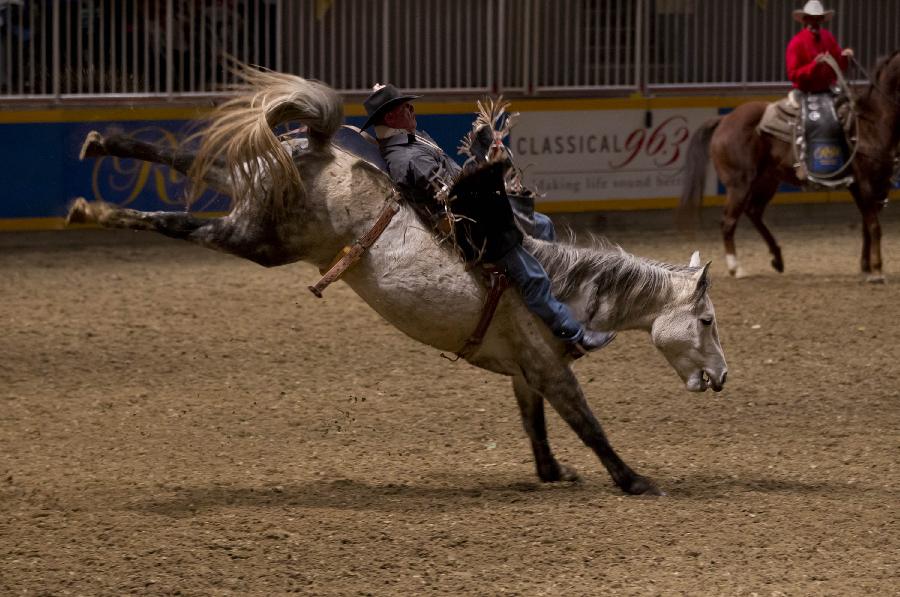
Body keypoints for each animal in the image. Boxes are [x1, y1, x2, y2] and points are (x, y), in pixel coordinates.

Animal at [70, 62, 732, 496]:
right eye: (706, 320)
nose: (722, 378)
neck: (566, 287)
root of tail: (318, 147)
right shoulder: (548, 364)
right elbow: (584, 420)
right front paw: (634, 479)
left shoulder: (524, 369)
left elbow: (535, 423)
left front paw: (551, 473)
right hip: (257, 239)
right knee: (176, 221)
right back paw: (91, 209)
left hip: (255, 181)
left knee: (197, 160)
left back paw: (100, 141)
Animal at [684, 51, 900, 282]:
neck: (873, 123)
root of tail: (724, 119)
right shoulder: (864, 182)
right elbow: (874, 226)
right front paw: (877, 271)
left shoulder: (878, 184)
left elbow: (867, 225)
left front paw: (866, 266)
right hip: (739, 184)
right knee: (728, 221)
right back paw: (737, 268)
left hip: (767, 181)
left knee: (754, 212)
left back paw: (777, 258)